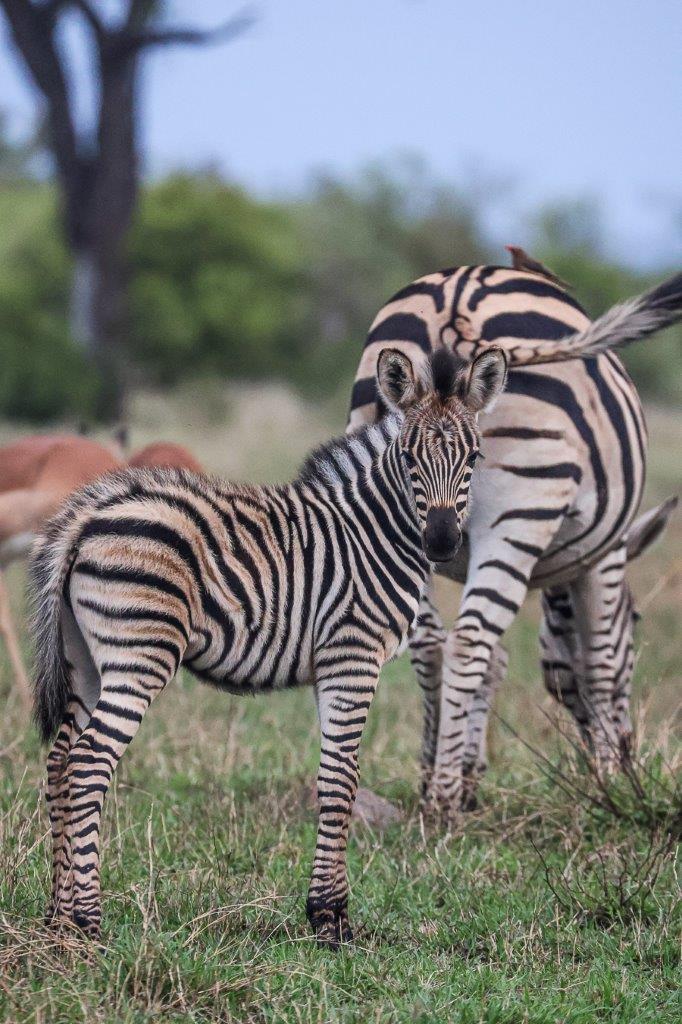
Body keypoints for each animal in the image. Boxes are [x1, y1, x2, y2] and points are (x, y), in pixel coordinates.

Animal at [29, 344, 506, 946]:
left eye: (474, 457)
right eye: (409, 458)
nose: (442, 543)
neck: (373, 533)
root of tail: (88, 514)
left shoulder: (330, 667)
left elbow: (334, 776)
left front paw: (326, 911)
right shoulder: (353, 656)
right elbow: (341, 780)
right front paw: (331, 919)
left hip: (87, 662)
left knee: (60, 764)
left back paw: (58, 918)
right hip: (138, 657)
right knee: (89, 763)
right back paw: (88, 922)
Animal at [348, 263, 681, 818]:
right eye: (637, 620)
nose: (631, 752)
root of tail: (457, 297)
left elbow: (498, 664)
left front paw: (469, 772)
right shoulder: (606, 554)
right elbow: (599, 665)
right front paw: (611, 785)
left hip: (402, 519)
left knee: (432, 645)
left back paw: (431, 778)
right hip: (520, 513)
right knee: (466, 642)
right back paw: (441, 800)